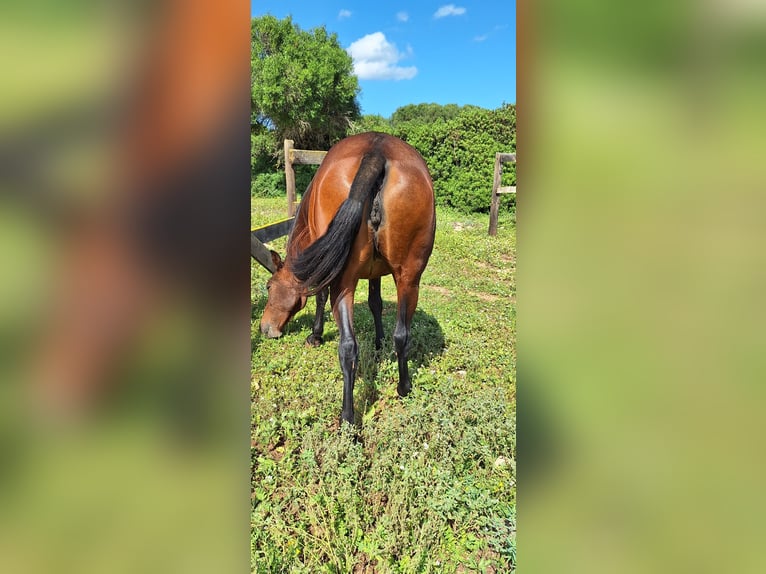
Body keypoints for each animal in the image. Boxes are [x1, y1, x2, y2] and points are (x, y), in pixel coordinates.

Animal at [260, 132, 436, 428]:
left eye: (269, 286)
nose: (264, 328)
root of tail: (377, 151)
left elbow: (319, 296)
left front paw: (315, 335)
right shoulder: (377, 273)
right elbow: (376, 303)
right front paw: (379, 342)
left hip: (343, 284)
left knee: (348, 347)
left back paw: (348, 416)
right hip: (409, 278)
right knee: (402, 335)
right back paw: (403, 387)